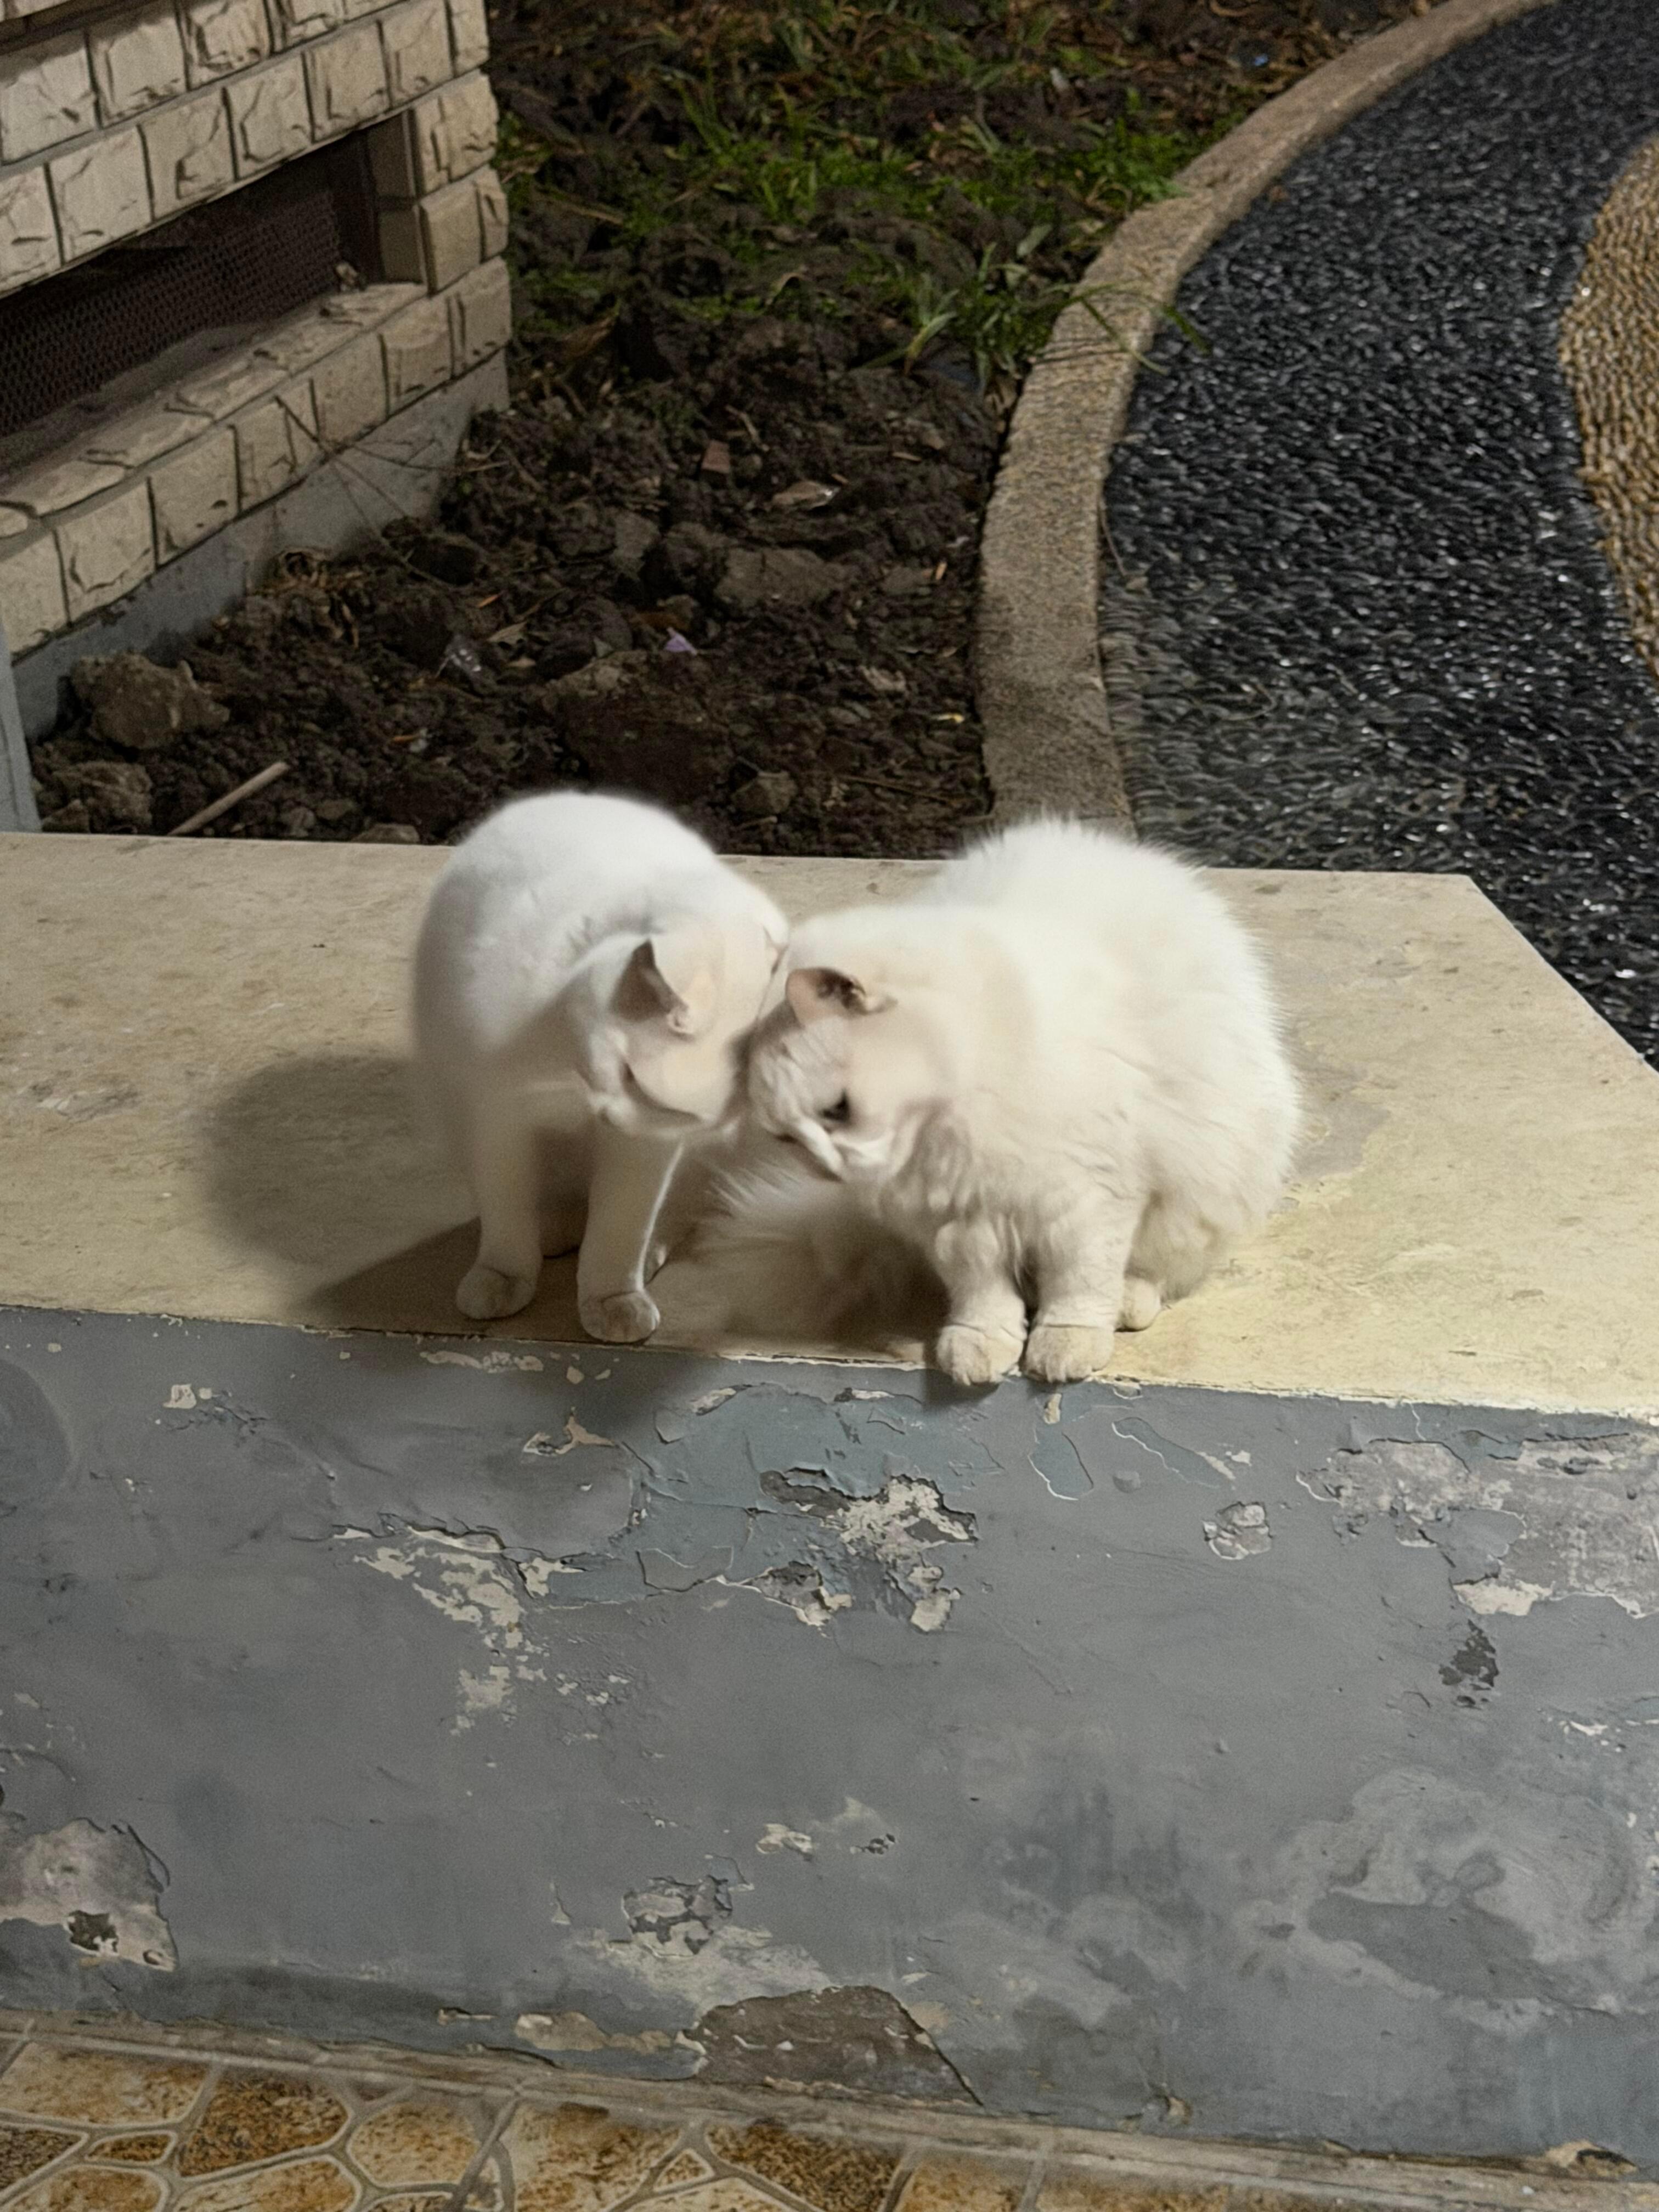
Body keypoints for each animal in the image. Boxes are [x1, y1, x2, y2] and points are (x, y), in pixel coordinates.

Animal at [412, 791, 787, 1342]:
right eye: (628, 1073)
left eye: (681, 1113)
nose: (613, 1119)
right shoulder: (497, 1115)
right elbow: (506, 1215)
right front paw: (502, 1278)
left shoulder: (645, 1150)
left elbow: (619, 1229)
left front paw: (613, 1302)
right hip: (453, 1110)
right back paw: (552, 1229)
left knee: (674, 1207)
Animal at [718, 818, 1300, 1384]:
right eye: (786, 1139)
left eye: (837, 1110)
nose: (828, 1169)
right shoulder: (961, 1225)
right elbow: (983, 1298)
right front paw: (981, 1349)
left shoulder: (1085, 1201)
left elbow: (1079, 1284)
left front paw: (1063, 1346)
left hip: (1202, 1190)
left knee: (1148, 1274)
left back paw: (1124, 1305)